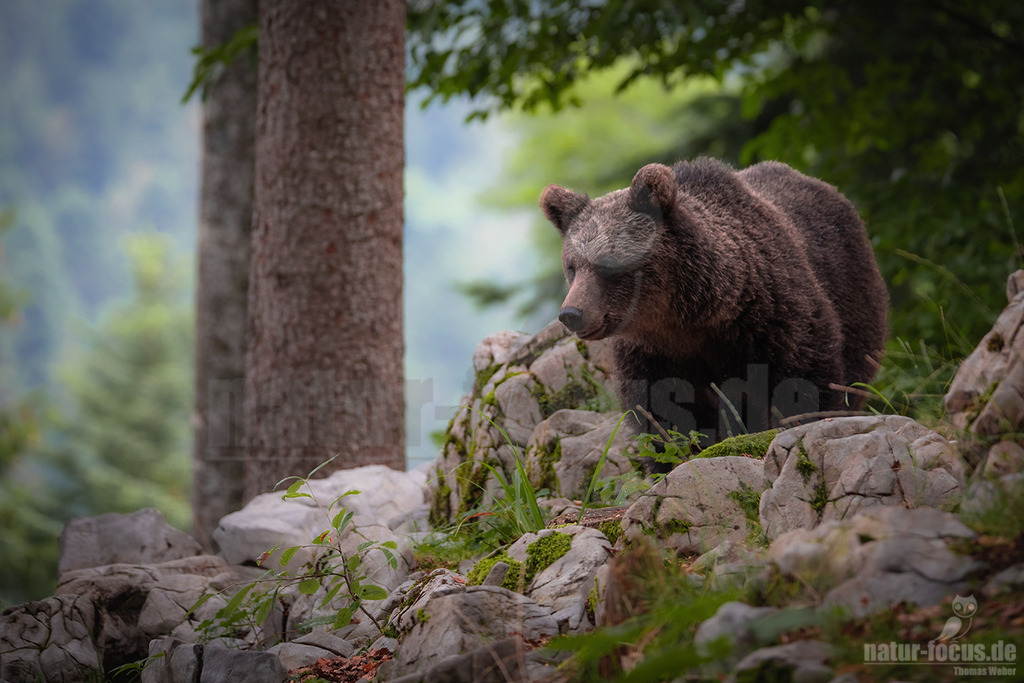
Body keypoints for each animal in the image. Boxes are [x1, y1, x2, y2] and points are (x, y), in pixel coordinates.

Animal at [540, 157, 888, 470]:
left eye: (607, 263)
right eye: (572, 266)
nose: (571, 313)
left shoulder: (773, 319)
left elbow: (804, 378)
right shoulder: (652, 353)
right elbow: (663, 413)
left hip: (853, 293)